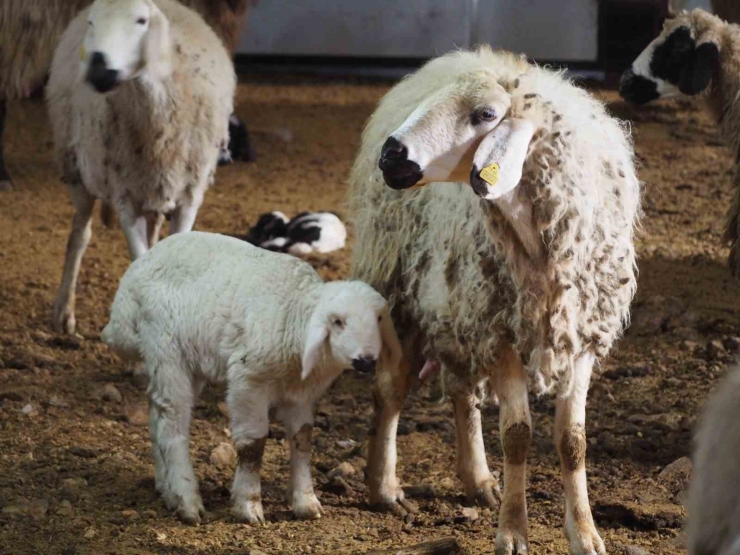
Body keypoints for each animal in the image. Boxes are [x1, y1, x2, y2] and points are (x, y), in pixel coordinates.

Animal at [48, 0, 237, 334]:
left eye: (141, 21)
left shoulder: (189, 195)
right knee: (79, 235)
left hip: (158, 185)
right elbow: (137, 257)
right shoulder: (125, 198)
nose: (99, 69)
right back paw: (64, 311)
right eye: (92, 22)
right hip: (78, 171)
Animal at [101, 232, 402, 528]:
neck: (294, 318)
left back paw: (167, 490)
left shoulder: (301, 394)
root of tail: (129, 282)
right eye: (338, 322)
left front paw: (305, 501)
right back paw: (187, 500)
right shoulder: (248, 383)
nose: (366, 360)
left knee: (156, 417)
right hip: (166, 349)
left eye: (379, 319)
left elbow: (302, 439)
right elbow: (253, 446)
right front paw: (248, 505)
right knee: (172, 425)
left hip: (183, 362)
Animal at [348, 47, 640, 555]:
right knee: (390, 390)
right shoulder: (502, 332)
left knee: (463, 393)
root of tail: (467, 54)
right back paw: (384, 488)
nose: (390, 155)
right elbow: (517, 435)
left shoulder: (581, 334)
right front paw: (513, 533)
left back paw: (478, 479)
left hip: (459, 306)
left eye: (485, 115)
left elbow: (573, 441)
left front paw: (585, 533)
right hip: (404, 291)